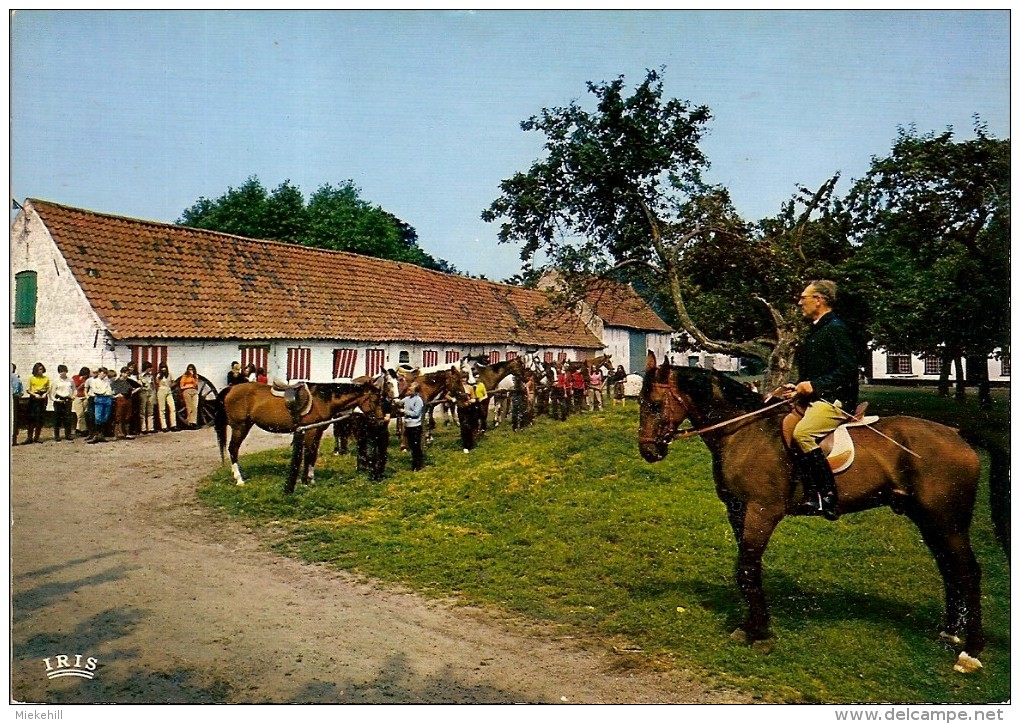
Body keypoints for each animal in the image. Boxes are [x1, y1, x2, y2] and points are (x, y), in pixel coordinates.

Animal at [215, 375, 385, 493]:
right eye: (375, 400)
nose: (382, 419)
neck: (321, 400)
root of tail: (231, 389)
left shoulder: (318, 431)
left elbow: (313, 455)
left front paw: (311, 479)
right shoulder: (310, 431)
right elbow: (308, 454)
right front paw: (305, 481)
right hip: (240, 427)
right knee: (233, 449)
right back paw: (239, 479)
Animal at [632, 350, 999, 673]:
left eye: (655, 404)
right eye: (639, 403)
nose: (648, 451)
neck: (746, 433)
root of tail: (956, 434)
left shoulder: (761, 512)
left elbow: (748, 568)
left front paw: (761, 635)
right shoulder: (738, 512)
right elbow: (747, 569)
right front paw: (749, 628)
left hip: (948, 522)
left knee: (968, 572)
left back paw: (971, 650)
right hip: (930, 521)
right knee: (949, 569)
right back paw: (949, 631)